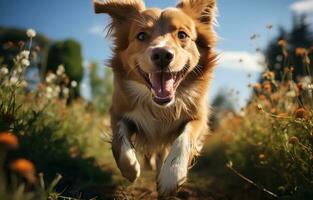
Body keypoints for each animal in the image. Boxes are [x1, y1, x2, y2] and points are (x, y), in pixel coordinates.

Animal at [92, 0, 217, 197]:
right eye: (141, 36)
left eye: (182, 35)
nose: (162, 55)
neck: (159, 107)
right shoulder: (118, 112)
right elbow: (120, 141)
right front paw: (130, 167)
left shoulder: (198, 117)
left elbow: (184, 139)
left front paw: (171, 175)